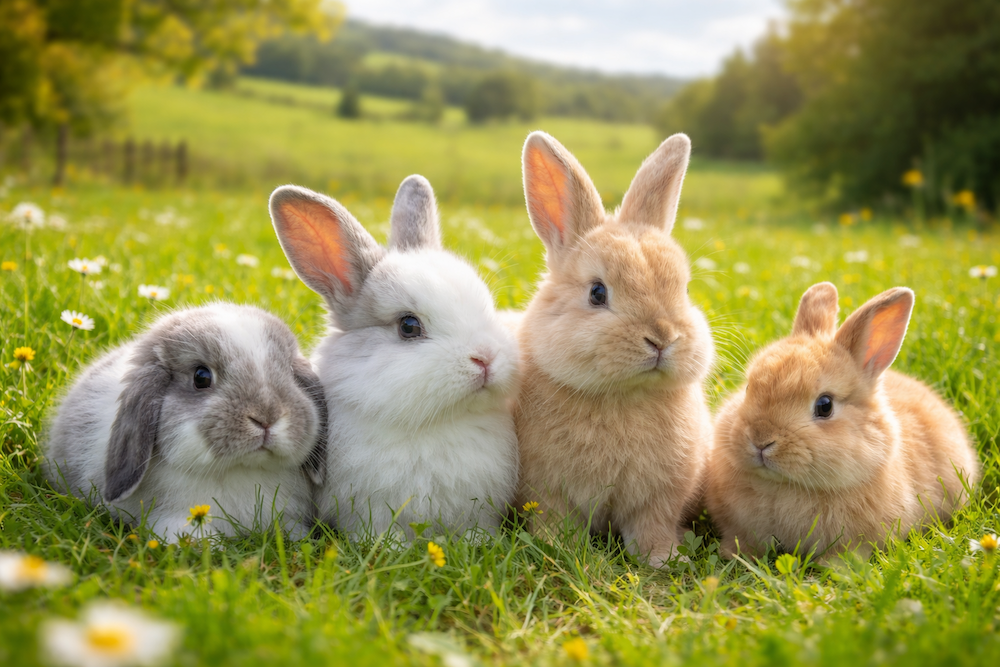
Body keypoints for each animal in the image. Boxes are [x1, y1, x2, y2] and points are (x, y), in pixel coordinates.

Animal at [268, 175, 519, 540]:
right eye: (408, 326)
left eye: (487, 308)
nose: (485, 359)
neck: (435, 422)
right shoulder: (367, 508)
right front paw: (391, 546)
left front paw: (479, 541)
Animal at [513, 131, 715, 568]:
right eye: (597, 293)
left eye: (685, 289)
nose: (662, 338)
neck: (622, 397)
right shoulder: (550, 493)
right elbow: (557, 524)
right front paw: (563, 552)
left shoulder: (660, 499)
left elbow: (651, 527)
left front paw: (664, 559)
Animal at [705, 282, 980, 562]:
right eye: (748, 389)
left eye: (824, 406)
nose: (761, 440)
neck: (785, 486)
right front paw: (733, 553)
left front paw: (835, 566)